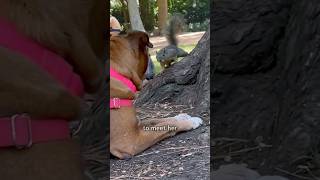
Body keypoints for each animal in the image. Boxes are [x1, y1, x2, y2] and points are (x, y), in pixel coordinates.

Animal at [109, 31, 201, 160]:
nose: (152, 75)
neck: (118, 74)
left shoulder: (138, 125)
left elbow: (158, 120)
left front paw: (181, 117)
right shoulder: (129, 141)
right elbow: (168, 125)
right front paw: (191, 122)